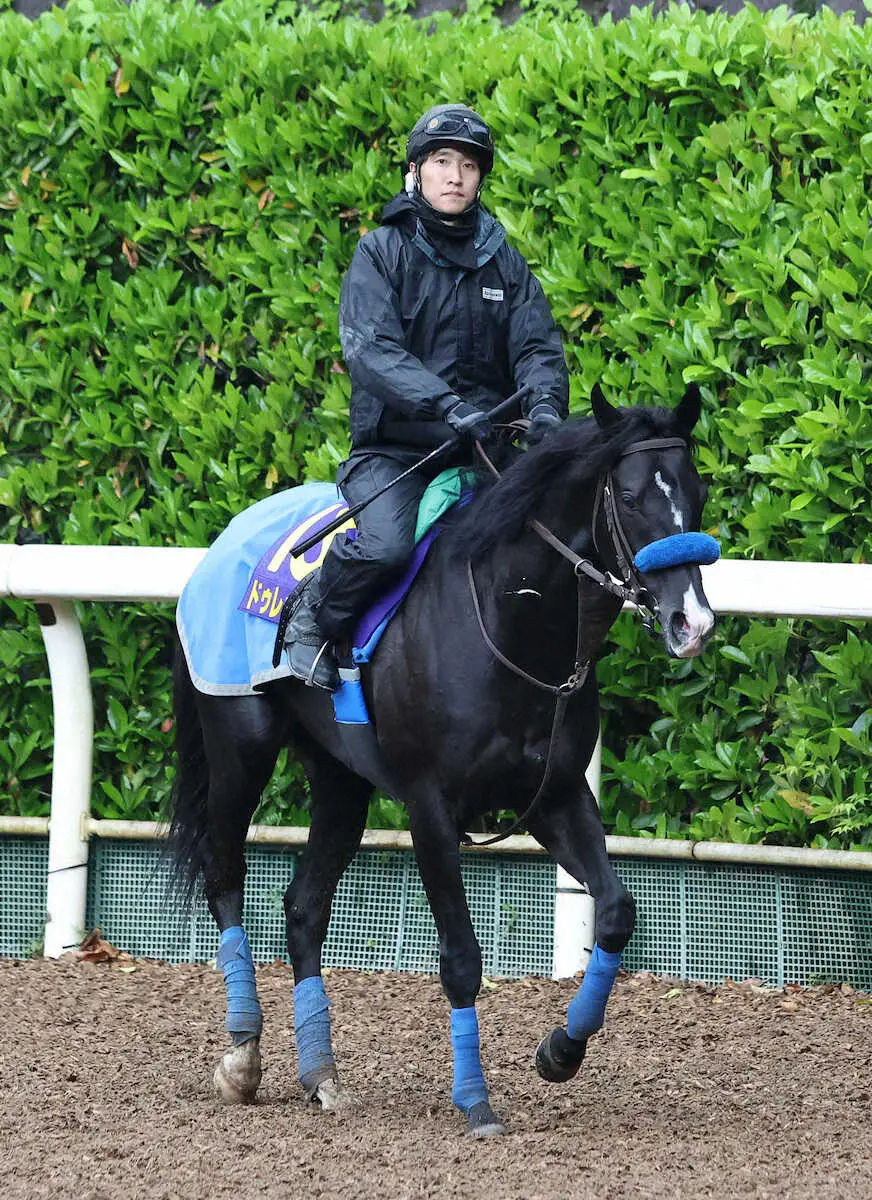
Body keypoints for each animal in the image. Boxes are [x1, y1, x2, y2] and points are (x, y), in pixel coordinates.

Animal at [169, 384, 714, 1132]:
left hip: (341, 779)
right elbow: (459, 956)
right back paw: (243, 1056)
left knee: (303, 906)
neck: (508, 621)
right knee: (225, 873)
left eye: (696, 488)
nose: (693, 622)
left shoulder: (556, 794)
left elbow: (615, 911)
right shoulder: (430, 809)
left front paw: (561, 1050)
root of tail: (220, 542)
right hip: (240, 746)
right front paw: (475, 1099)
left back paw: (321, 1073)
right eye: (630, 497)